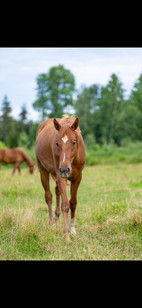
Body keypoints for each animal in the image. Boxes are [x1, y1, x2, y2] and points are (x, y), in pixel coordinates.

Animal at [36, 114, 86, 242]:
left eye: (74, 142)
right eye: (57, 143)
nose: (64, 169)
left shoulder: (77, 177)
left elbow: (73, 203)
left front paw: (72, 230)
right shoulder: (61, 176)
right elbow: (65, 205)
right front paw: (67, 235)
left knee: (57, 190)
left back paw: (56, 216)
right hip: (43, 171)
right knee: (48, 196)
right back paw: (51, 222)